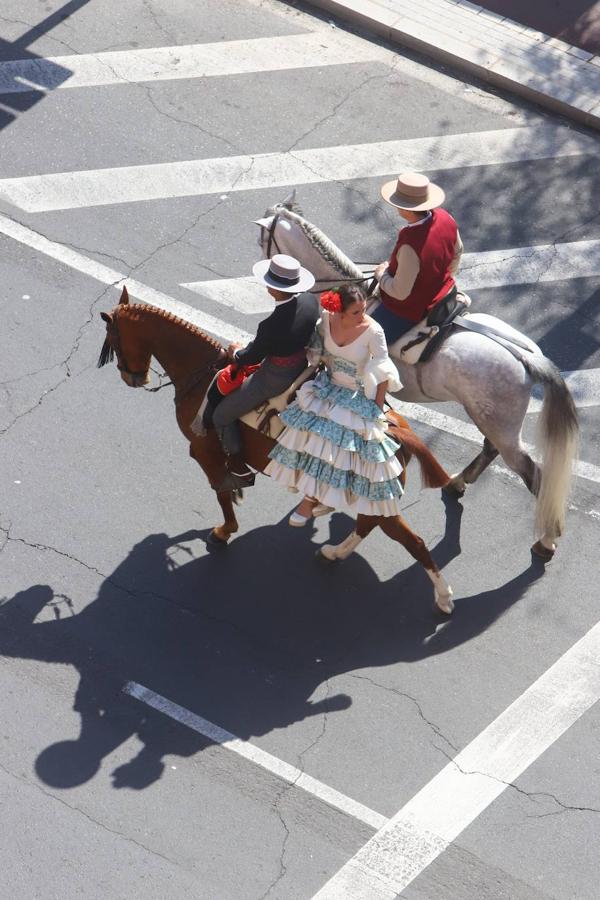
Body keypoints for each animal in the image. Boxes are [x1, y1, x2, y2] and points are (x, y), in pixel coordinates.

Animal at [98, 292, 454, 616]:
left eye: (112, 337)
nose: (132, 377)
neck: (201, 374)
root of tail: (394, 428)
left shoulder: (204, 450)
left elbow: (221, 491)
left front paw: (223, 531)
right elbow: (227, 485)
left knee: (413, 542)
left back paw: (444, 597)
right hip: (373, 497)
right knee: (367, 525)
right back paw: (333, 552)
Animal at [255, 193, 580, 560]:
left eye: (263, 239)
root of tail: (527, 357)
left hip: (501, 426)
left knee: (531, 473)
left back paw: (546, 540)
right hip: (493, 420)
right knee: (490, 449)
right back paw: (456, 484)